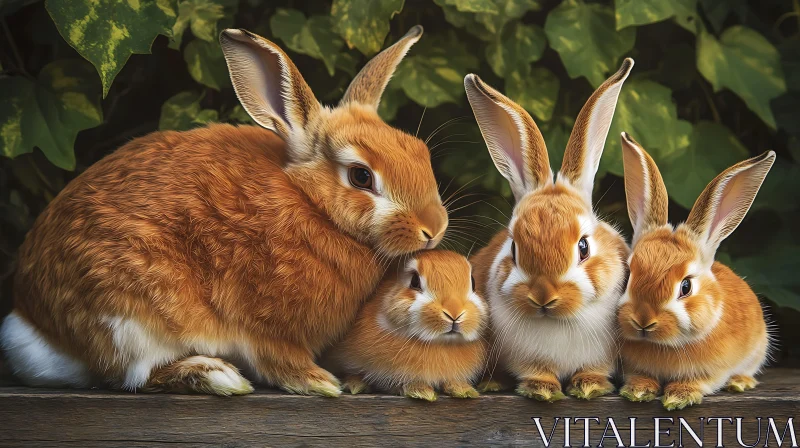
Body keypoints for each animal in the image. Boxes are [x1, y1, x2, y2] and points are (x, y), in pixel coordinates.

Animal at [1, 25, 450, 396]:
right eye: (360, 176)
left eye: (420, 152)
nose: (433, 228)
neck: (312, 205)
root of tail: (32, 319)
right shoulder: (264, 325)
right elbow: (277, 358)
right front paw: (320, 381)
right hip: (129, 317)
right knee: (134, 375)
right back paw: (216, 376)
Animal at [324, 250, 488, 400]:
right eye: (414, 281)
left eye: (473, 283)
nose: (454, 313)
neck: (440, 344)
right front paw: (421, 391)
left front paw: (463, 390)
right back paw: (356, 385)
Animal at [466, 60, 636, 402]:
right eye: (513, 248)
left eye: (583, 247)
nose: (543, 295)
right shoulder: (524, 358)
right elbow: (536, 372)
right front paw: (541, 390)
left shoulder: (603, 355)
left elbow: (594, 370)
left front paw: (589, 386)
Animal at [620, 133, 776, 410]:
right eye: (628, 275)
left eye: (686, 286)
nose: (643, 320)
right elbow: (640, 376)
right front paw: (638, 391)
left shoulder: (713, 372)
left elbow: (699, 382)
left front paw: (679, 396)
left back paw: (740, 383)